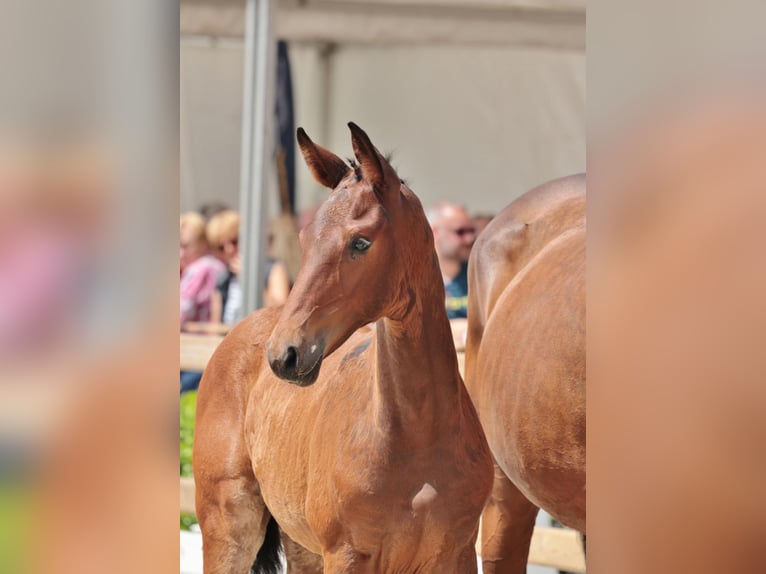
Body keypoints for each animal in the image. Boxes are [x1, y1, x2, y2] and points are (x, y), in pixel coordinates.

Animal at [191, 124, 492, 572]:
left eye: (361, 243)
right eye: (303, 238)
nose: (284, 354)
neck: (419, 436)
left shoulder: (457, 554)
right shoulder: (347, 555)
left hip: (302, 544)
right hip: (229, 527)